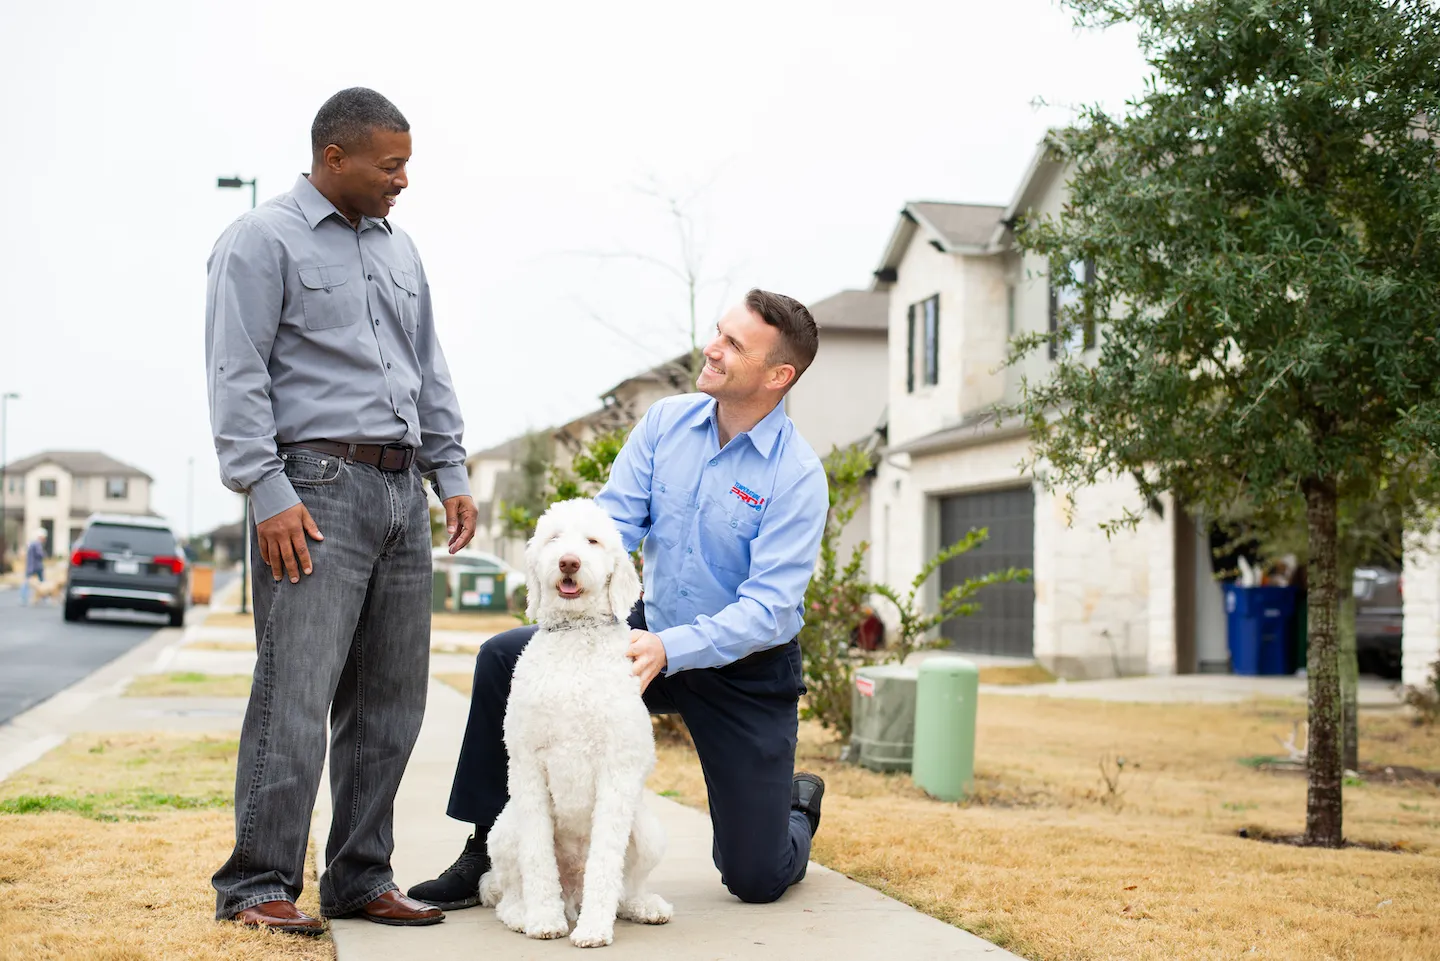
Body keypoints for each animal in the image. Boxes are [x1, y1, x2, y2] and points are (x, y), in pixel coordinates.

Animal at [475, 501, 671, 950]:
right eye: (554, 538)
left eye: (593, 541)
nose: (569, 562)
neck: (575, 635)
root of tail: (574, 894)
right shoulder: (528, 766)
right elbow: (537, 859)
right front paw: (544, 921)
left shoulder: (617, 771)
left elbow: (605, 862)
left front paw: (595, 929)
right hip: (504, 829)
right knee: (507, 890)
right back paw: (523, 913)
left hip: (649, 831)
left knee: (625, 886)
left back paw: (641, 906)